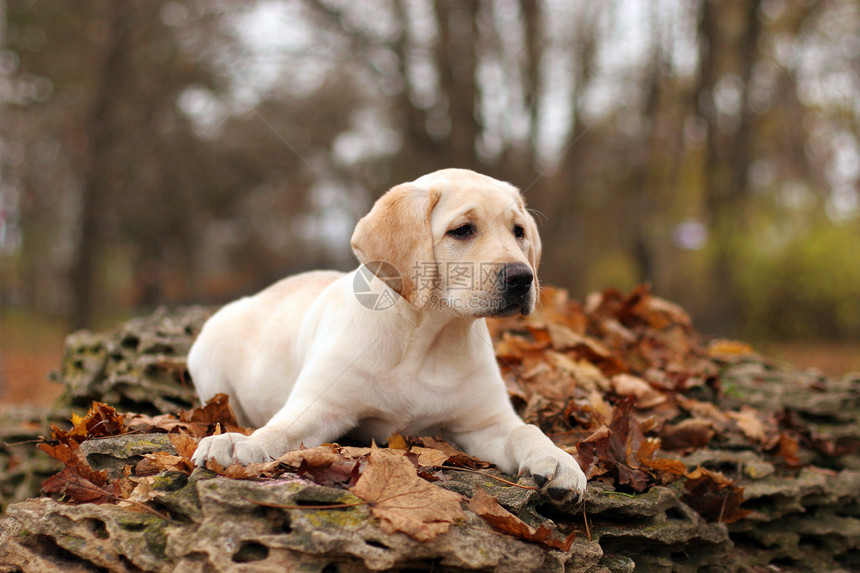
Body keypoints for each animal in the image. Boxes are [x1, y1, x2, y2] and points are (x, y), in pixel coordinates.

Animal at [190, 168, 584, 498]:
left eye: (519, 232)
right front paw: (241, 445)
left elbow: (525, 429)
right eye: (462, 230)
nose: (522, 278)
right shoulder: (322, 406)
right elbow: (280, 430)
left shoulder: (486, 423)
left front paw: (558, 459)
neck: (428, 339)